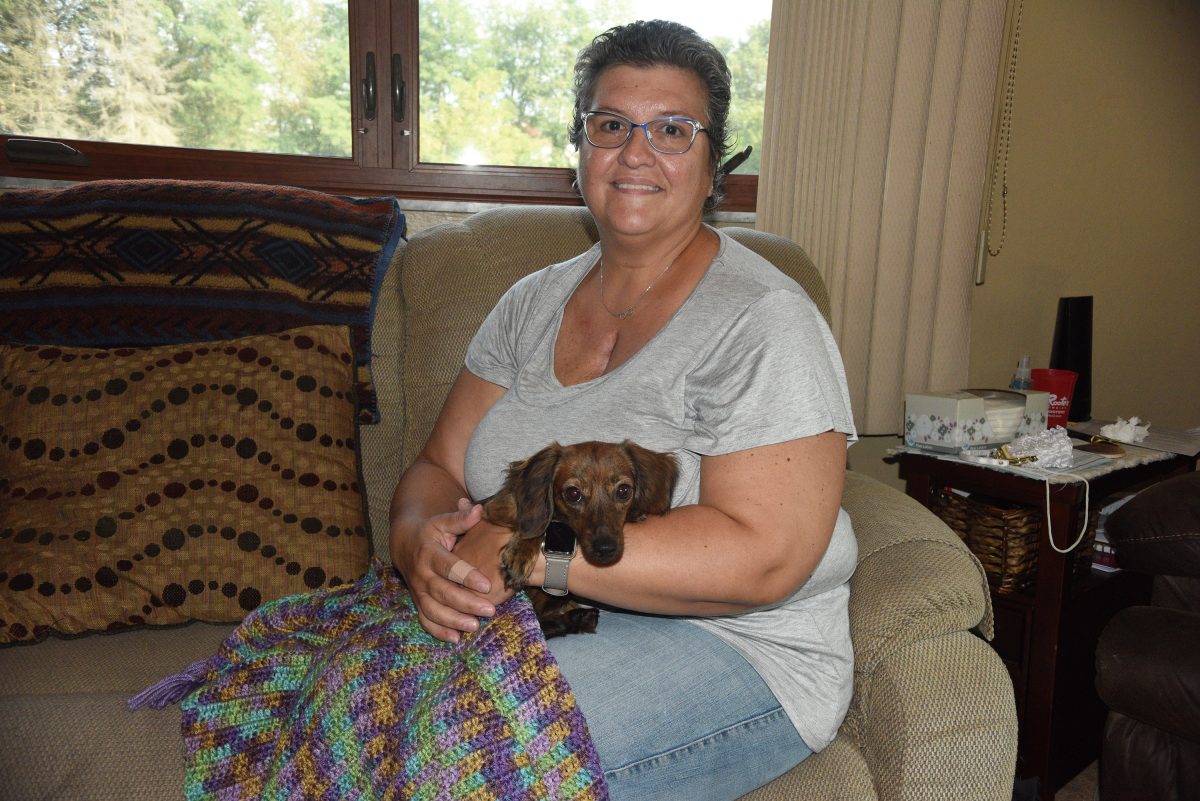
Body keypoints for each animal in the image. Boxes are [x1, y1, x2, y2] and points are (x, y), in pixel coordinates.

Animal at [480, 440, 678, 637]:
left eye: (623, 490)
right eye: (573, 494)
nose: (606, 549)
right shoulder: (496, 511)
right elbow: (541, 525)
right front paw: (521, 552)